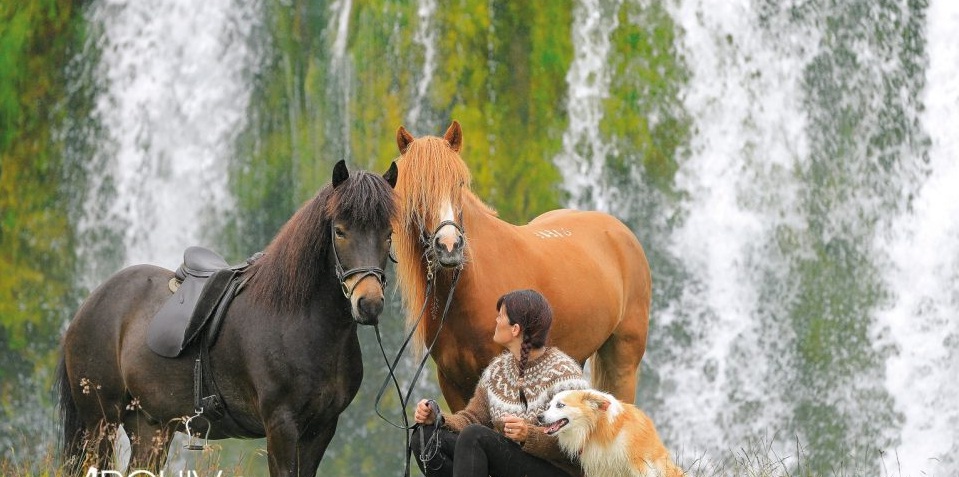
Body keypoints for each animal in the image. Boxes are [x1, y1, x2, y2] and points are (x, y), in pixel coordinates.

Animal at [57, 160, 398, 476]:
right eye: (340, 231)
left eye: (388, 234)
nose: (369, 303)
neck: (298, 321)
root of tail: (90, 304)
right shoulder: (281, 425)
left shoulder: (322, 427)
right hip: (100, 421)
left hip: (150, 426)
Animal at [390, 121, 651, 412]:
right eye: (416, 190)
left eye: (459, 183)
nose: (449, 245)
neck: (471, 288)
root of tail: (619, 232)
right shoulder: (453, 384)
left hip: (622, 362)